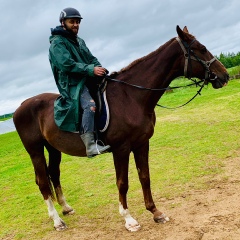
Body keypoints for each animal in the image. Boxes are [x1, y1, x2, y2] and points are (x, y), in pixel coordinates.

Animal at [13, 25, 229, 232]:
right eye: (201, 49)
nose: (224, 75)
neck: (131, 96)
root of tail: (21, 106)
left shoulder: (142, 144)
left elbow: (145, 177)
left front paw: (156, 212)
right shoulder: (121, 149)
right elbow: (122, 183)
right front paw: (129, 219)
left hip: (53, 149)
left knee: (54, 175)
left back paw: (66, 208)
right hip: (35, 151)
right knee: (43, 182)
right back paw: (57, 221)